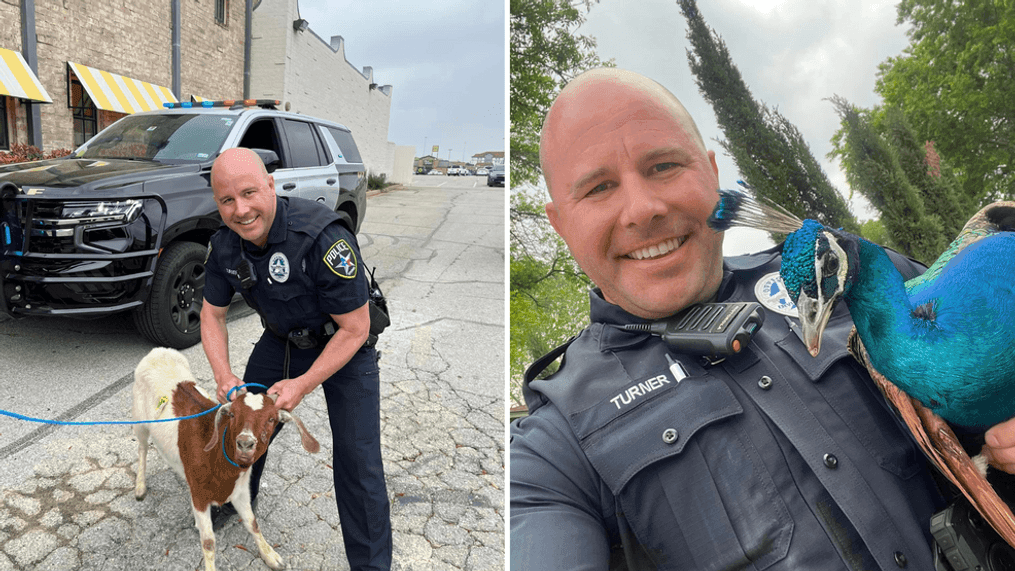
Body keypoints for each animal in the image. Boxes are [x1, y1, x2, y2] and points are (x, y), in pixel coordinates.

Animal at [130, 348, 318, 571]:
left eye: (271, 419)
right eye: (233, 415)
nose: (245, 443)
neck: (218, 460)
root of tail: (158, 351)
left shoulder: (241, 490)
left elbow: (252, 523)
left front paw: (271, 556)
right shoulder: (200, 496)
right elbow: (208, 542)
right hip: (139, 419)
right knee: (142, 448)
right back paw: (140, 487)